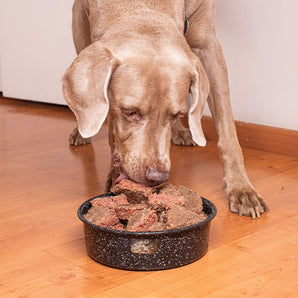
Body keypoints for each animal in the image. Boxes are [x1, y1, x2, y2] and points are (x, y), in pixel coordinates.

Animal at [61, 0, 268, 219]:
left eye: (176, 114)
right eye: (130, 111)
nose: (157, 176)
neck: (144, 8)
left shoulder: (207, 45)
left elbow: (227, 128)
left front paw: (242, 189)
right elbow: (112, 131)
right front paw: (116, 173)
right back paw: (81, 132)